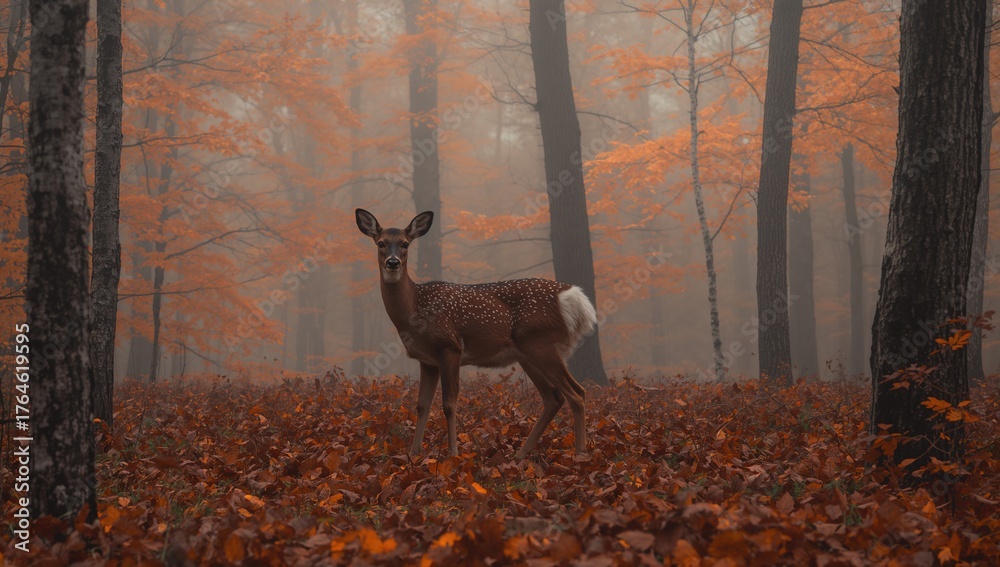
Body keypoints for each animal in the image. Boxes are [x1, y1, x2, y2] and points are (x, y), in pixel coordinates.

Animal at [355, 208, 595, 460]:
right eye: (381, 243)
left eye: (405, 243)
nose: (393, 262)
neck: (416, 308)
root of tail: (573, 299)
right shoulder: (427, 359)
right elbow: (422, 405)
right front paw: (414, 454)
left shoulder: (450, 346)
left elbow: (449, 403)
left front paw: (452, 453)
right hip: (528, 353)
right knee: (553, 397)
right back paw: (520, 456)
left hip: (541, 343)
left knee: (577, 393)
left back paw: (580, 454)